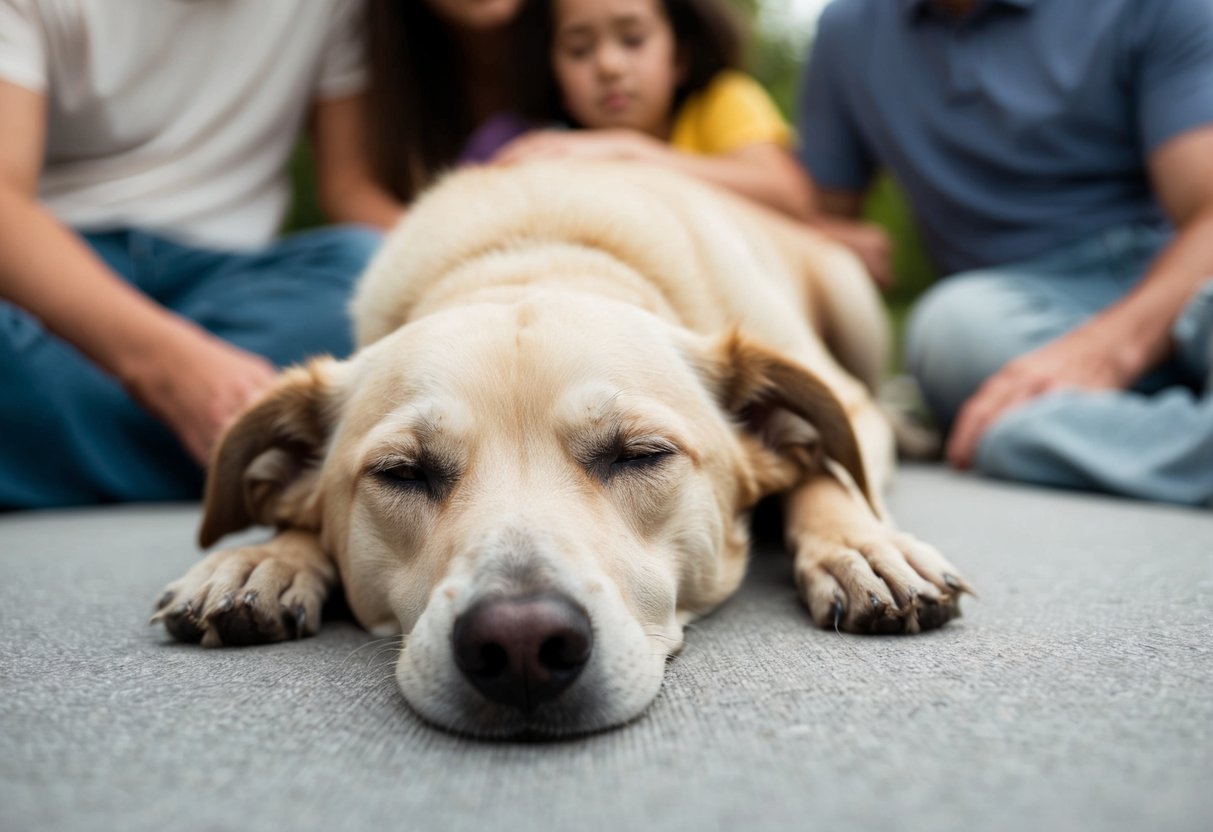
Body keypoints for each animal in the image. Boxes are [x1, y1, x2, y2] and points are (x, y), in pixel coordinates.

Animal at [151, 162, 970, 737]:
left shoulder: (848, 409)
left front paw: (862, 547)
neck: (533, 253)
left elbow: (827, 473)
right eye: (400, 472)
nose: (519, 646)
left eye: (642, 454)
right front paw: (261, 559)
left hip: (854, 309)